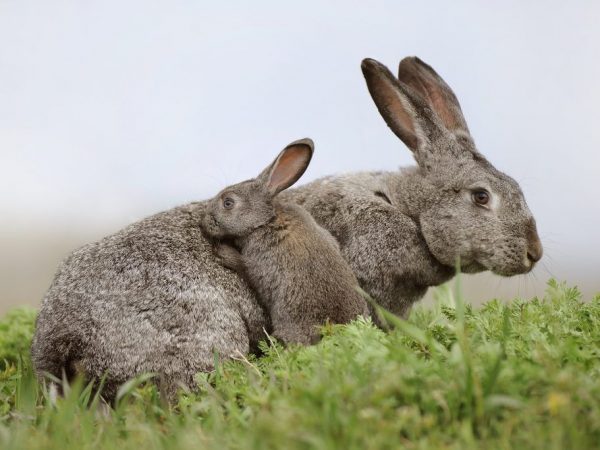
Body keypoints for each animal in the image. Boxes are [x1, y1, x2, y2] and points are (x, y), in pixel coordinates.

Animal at [204, 138, 368, 344]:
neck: (267, 220)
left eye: (228, 203)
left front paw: (221, 251)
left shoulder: (257, 261)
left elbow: (244, 267)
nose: (204, 221)